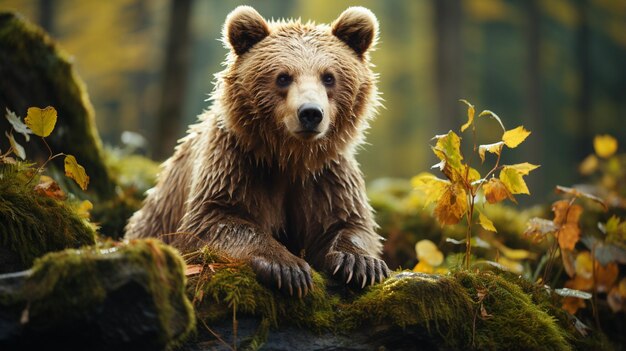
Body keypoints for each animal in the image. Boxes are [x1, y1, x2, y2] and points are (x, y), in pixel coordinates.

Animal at [124, 5, 388, 296]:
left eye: (329, 77)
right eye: (283, 77)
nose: (310, 113)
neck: (290, 156)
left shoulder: (325, 177)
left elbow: (348, 221)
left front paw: (360, 263)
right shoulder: (236, 165)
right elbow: (215, 220)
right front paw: (288, 268)